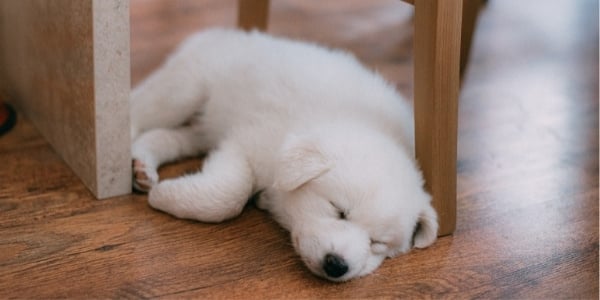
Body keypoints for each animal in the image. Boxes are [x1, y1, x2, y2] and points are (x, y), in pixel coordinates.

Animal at [130, 28, 436, 282]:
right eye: (339, 211)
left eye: (377, 243)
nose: (337, 265)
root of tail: (229, 33)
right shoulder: (245, 141)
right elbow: (230, 195)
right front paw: (163, 197)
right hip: (184, 89)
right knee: (140, 109)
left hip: (200, 127)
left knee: (169, 136)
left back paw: (141, 165)